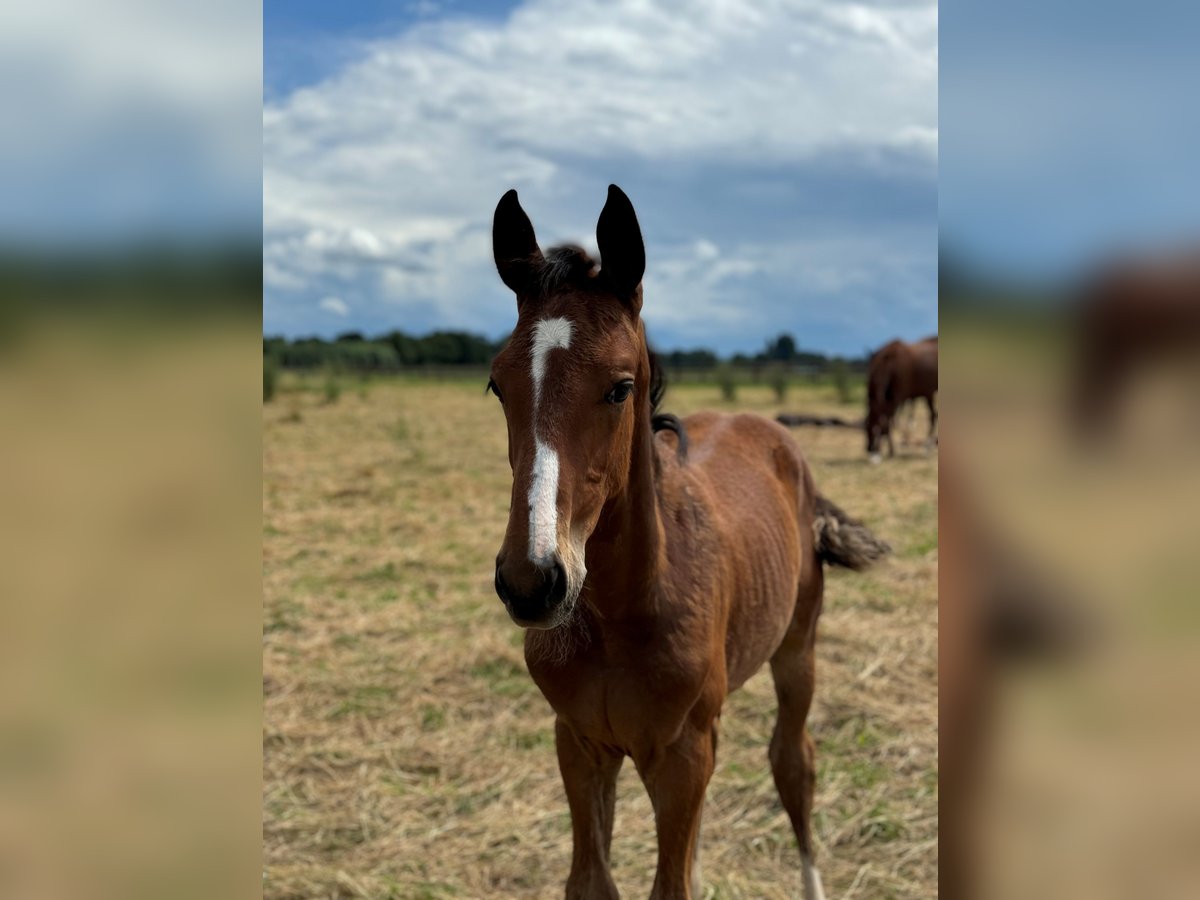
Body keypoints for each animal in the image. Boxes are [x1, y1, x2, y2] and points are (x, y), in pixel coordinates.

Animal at [482, 184, 888, 900]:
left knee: (794, 762)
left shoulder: (680, 756)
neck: (620, 615)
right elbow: (593, 880)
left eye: (620, 387)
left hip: (797, 647)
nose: (532, 582)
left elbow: (671, 884)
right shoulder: (579, 744)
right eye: (498, 384)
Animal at [868, 336, 940, 465]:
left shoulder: (898, 397)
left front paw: (886, 452)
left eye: (874, 430)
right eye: (866, 428)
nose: (869, 450)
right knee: (933, 416)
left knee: (932, 416)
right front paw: (890, 451)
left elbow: (887, 421)